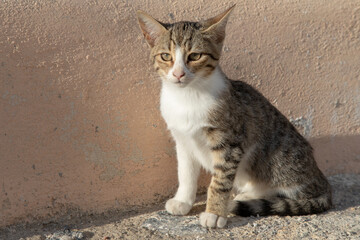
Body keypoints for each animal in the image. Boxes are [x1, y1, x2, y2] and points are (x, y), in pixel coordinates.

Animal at [136, 4, 332, 228]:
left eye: (195, 56)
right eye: (166, 56)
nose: (178, 74)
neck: (188, 97)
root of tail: (322, 179)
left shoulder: (229, 143)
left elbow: (220, 181)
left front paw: (214, 213)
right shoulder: (183, 139)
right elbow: (185, 173)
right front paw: (183, 201)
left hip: (279, 161)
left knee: (295, 192)